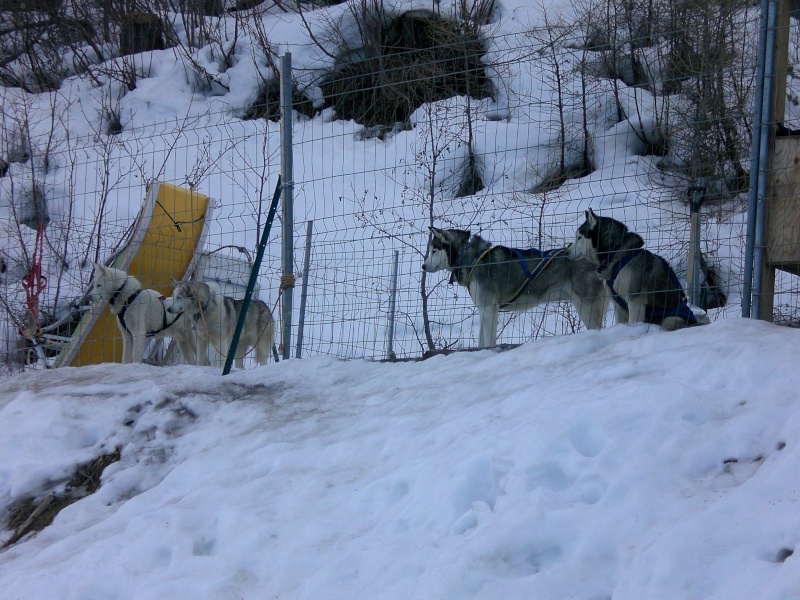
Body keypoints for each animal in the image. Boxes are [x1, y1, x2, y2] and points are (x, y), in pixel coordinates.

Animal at [422, 225, 604, 346]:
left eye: (434, 251)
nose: (423, 266)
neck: (471, 258)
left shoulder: (489, 309)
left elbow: (489, 343)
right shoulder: (485, 310)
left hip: (586, 307)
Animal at [568, 210, 700, 332]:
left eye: (579, 237)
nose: (566, 251)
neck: (616, 253)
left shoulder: (635, 301)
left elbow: (633, 322)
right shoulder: (618, 304)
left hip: (670, 319)